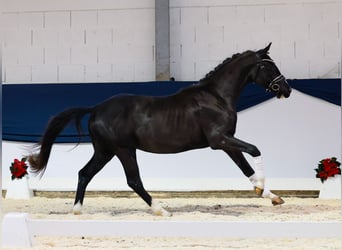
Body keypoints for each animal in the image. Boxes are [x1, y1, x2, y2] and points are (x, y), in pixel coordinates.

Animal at [29, 43, 292, 215]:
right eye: (269, 66)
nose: (286, 89)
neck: (216, 97)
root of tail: (96, 109)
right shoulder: (220, 140)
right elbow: (255, 150)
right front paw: (265, 191)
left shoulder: (227, 142)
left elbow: (246, 168)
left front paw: (270, 195)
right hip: (123, 150)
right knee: (133, 180)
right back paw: (161, 210)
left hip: (105, 151)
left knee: (84, 173)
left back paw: (77, 210)